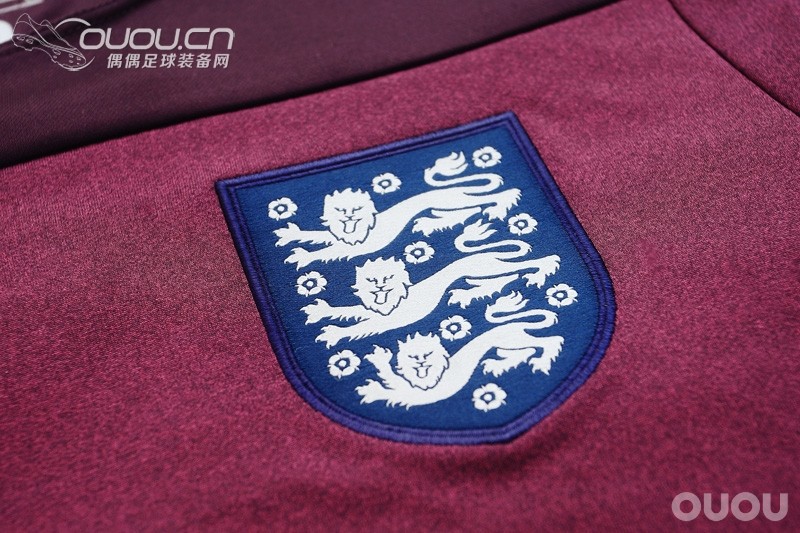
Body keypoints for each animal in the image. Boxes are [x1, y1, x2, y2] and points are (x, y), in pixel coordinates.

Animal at [274, 152, 521, 269]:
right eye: (340, 210)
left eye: (356, 208)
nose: (350, 215)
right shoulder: (338, 236)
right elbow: (318, 235)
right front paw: (292, 234)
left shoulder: (355, 246)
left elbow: (327, 251)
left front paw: (305, 257)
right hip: (447, 204)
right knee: (471, 208)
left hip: (451, 201)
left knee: (496, 196)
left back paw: (501, 205)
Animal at [302, 220, 561, 347]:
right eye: (371, 280)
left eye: (388, 278)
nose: (380, 286)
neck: (389, 302)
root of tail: (487, 254)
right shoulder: (371, 310)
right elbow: (351, 311)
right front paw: (322, 311)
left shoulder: (387, 320)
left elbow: (360, 327)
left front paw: (335, 333)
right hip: (482, 274)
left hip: (487, 269)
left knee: (529, 264)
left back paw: (543, 269)